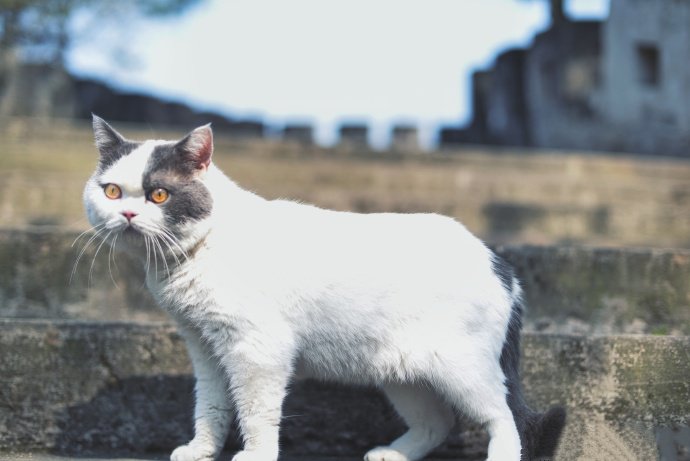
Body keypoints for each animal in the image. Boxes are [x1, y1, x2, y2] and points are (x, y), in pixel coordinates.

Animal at [82, 115, 564, 460]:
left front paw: (255, 456)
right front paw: (202, 450)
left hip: (462, 369)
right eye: (111, 191)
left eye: (159, 195)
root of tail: (501, 263)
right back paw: (392, 454)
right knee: (437, 424)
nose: (127, 215)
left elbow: (255, 411)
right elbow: (211, 406)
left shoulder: (258, 350)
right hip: (404, 374)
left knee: (505, 418)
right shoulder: (205, 348)